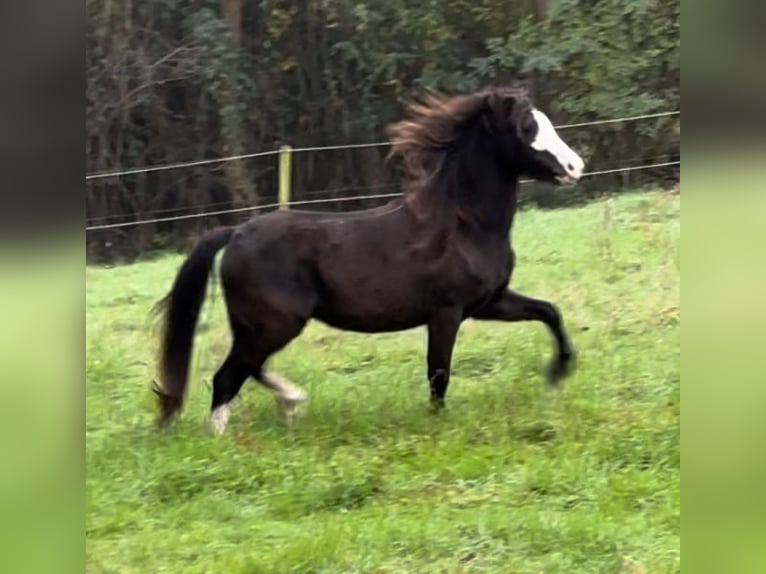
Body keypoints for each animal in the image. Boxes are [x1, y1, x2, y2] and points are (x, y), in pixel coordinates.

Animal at [153, 85, 584, 434]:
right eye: (527, 128)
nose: (575, 167)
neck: (462, 225)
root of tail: (237, 232)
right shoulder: (446, 312)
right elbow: (438, 374)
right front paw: (437, 423)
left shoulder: (489, 302)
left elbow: (550, 312)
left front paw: (558, 373)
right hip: (274, 324)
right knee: (227, 376)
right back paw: (223, 439)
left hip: (262, 326)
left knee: (248, 367)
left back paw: (293, 403)